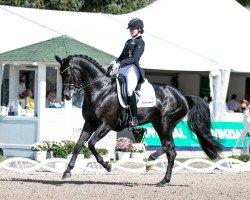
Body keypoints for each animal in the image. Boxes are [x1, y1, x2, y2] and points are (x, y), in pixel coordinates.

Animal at [55, 55, 223, 186]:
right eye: (60, 74)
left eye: (68, 73)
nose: (67, 96)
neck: (100, 90)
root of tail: (183, 96)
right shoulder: (89, 123)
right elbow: (78, 145)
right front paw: (67, 171)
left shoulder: (106, 124)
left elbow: (90, 144)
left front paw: (107, 165)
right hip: (159, 124)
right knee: (171, 151)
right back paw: (163, 180)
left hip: (166, 123)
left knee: (169, 146)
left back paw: (150, 162)